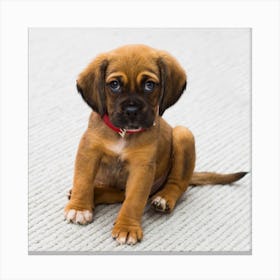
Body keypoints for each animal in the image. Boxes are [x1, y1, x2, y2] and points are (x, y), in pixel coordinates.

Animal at [64, 43, 247, 245]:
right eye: (114, 85)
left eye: (149, 85)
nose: (132, 110)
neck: (123, 134)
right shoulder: (89, 152)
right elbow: (83, 181)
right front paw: (80, 207)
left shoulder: (142, 168)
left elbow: (134, 200)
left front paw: (127, 228)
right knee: (118, 193)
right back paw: (94, 194)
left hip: (183, 134)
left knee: (177, 184)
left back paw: (164, 199)